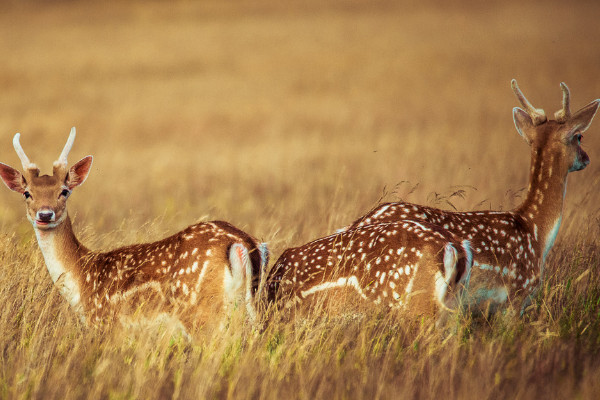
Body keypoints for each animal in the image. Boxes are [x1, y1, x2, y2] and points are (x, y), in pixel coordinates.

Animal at [0, 129, 268, 334]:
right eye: (27, 193)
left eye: (64, 191)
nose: (45, 215)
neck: (82, 279)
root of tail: (243, 242)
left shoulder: (107, 324)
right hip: (251, 307)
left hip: (201, 313)